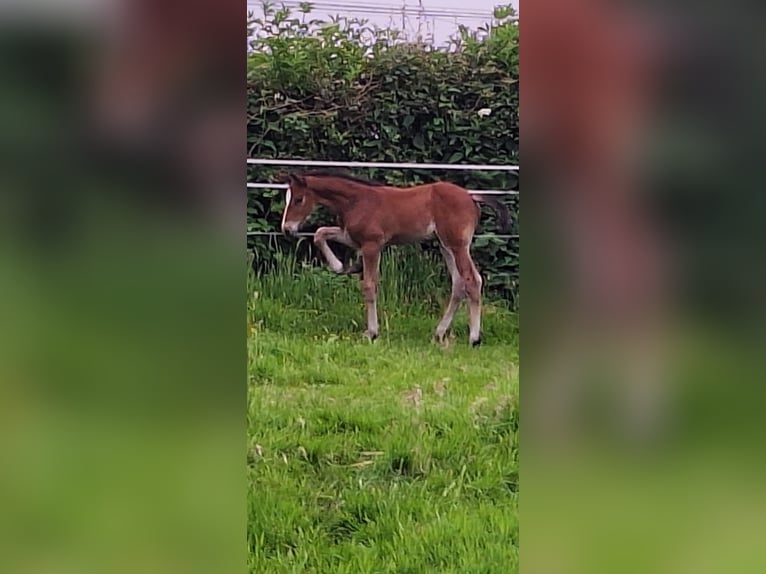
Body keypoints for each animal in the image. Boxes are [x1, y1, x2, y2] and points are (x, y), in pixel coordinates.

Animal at [280, 171, 512, 346]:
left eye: (299, 199)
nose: (287, 229)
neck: (358, 201)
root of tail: (472, 196)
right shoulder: (352, 237)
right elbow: (320, 234)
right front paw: (343, 266)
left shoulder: (372, 245)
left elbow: (369, 286)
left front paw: (372, 333)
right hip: (445, 245)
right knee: (458, 283)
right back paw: (439, 333)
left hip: (457, 245)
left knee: (472, 280)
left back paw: (474, 338)